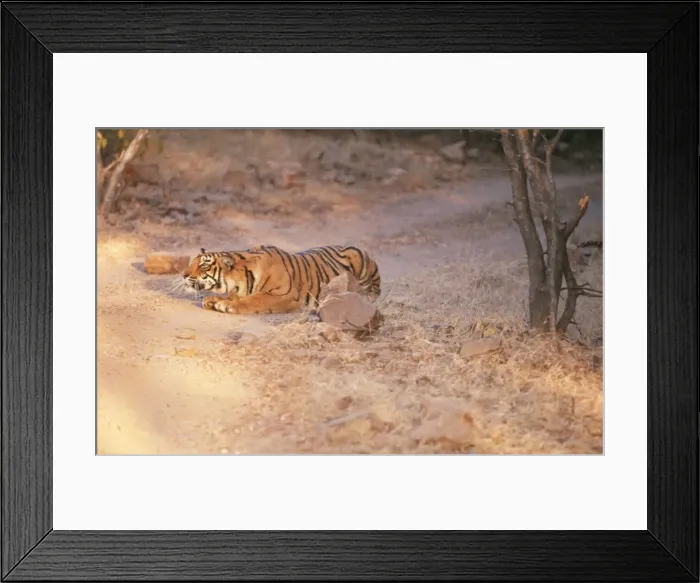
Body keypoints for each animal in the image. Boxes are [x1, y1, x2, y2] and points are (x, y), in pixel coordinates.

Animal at [181, 244, 381, 315]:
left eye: (204, 265)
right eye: (192, 262)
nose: (183, 274)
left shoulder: (285, 295)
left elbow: (255, 299)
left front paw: (225, 304)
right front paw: (213, 300)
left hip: (361, 260)